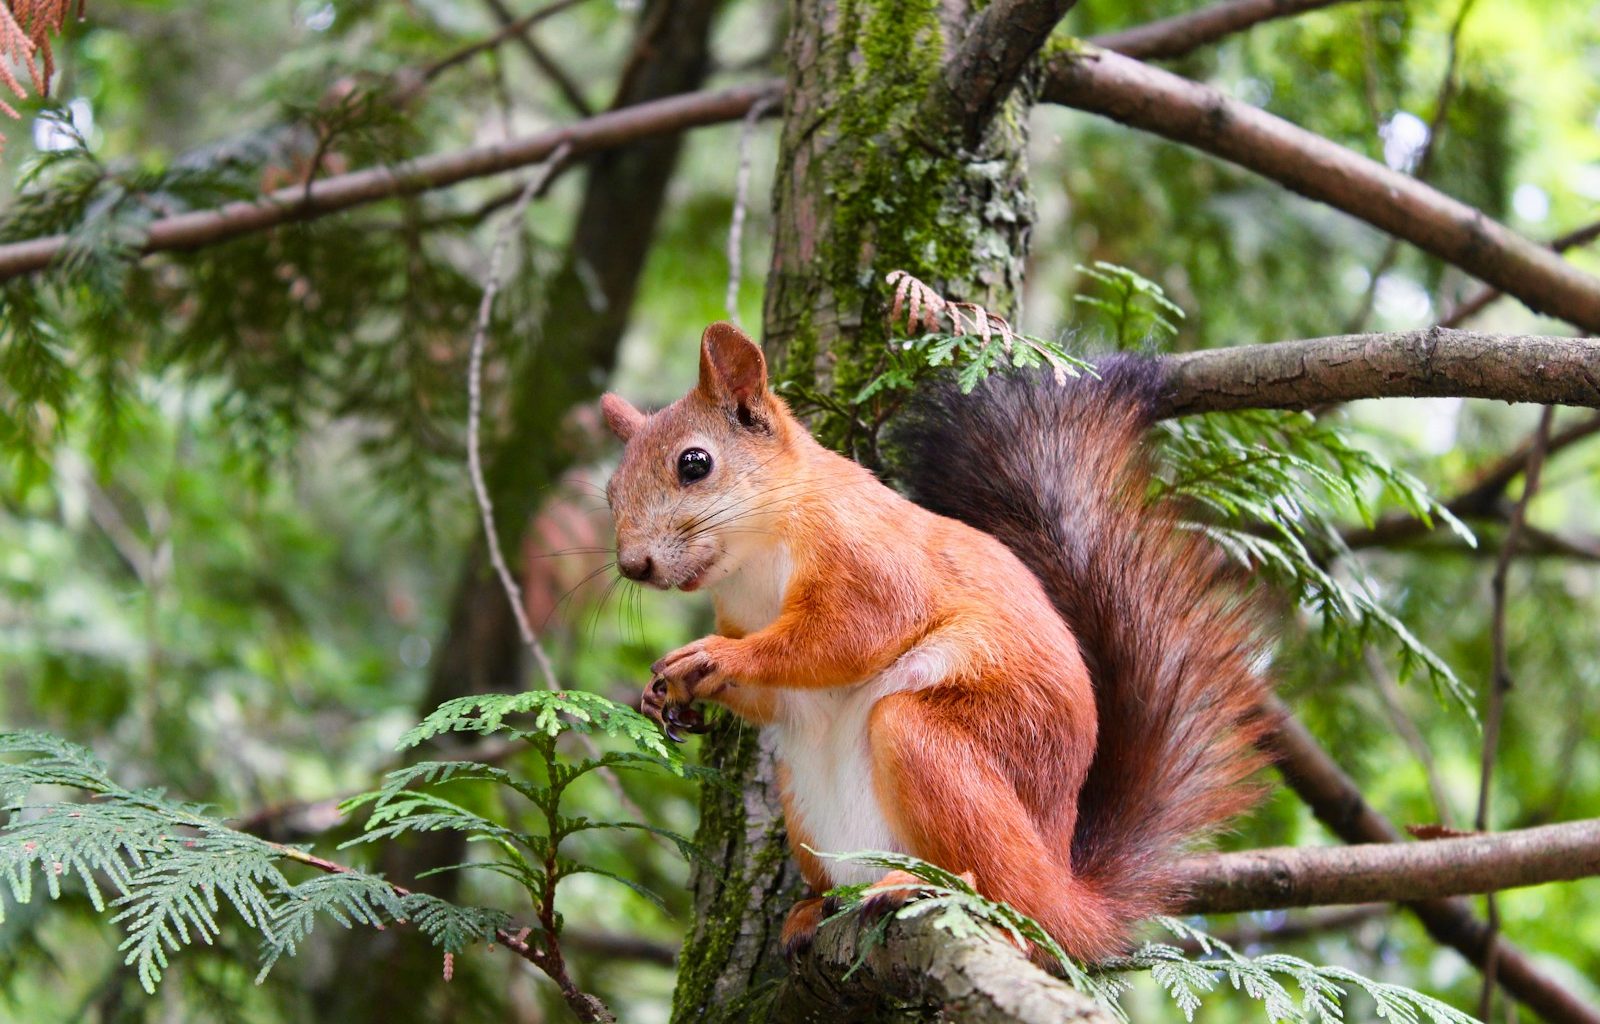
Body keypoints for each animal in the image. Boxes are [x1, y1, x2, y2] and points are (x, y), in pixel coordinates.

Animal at [599, 321, 1274, 962]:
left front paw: (715, 657)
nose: (633, 566)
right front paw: (667, 695)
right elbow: (776, 695)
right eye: (609, 492)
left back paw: (925, 887)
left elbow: (846, 636)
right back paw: (815, 908)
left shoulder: (869, 558)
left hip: (940, 745)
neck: (755, 560)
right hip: (805, 802)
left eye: (694, 464)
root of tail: (1066, 892)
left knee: (1010, 902)